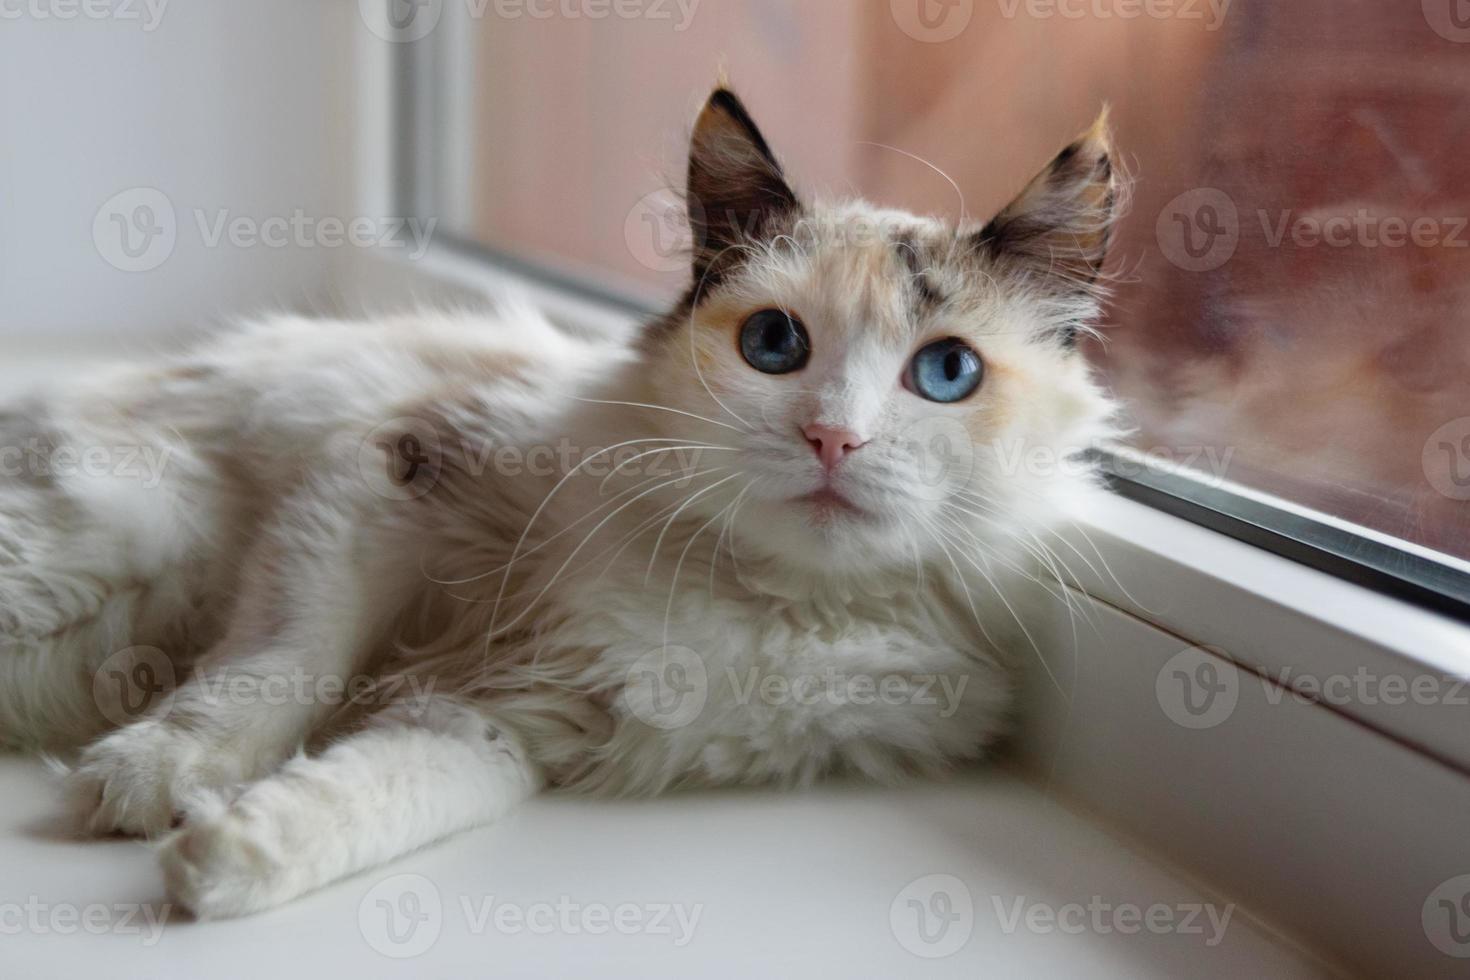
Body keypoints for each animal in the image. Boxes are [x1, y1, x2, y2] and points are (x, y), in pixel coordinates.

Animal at [0, 86, 1111, 922]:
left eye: (948, 372)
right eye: (775, 345)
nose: (834, 438)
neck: (765, 594)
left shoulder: (518, 724)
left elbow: (372, 797)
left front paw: (220, 857)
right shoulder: (390, 471)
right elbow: (281, 662)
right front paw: (157, 771)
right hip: (101, 547)